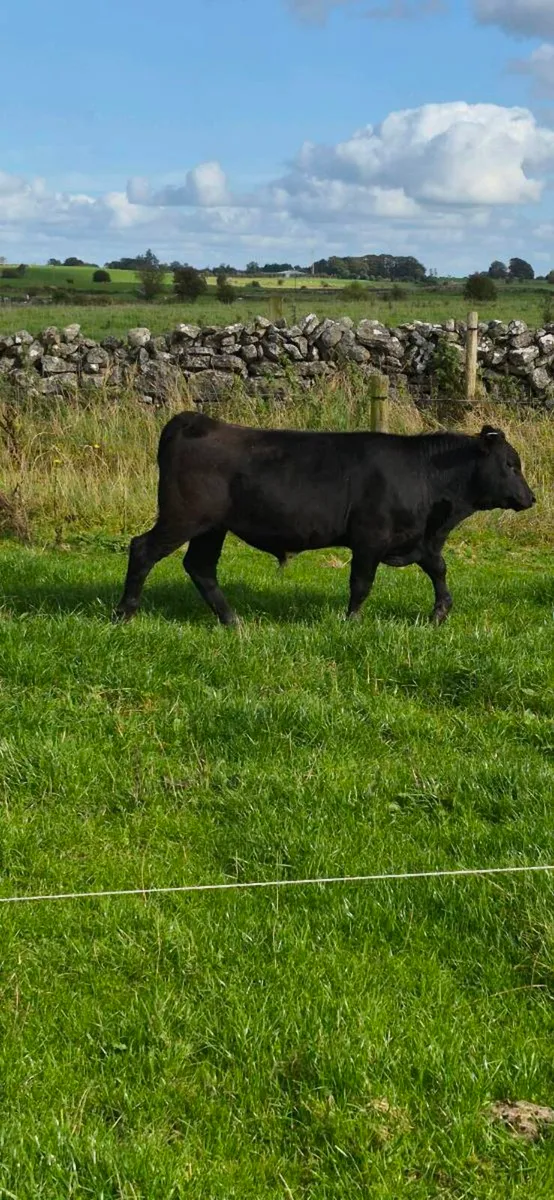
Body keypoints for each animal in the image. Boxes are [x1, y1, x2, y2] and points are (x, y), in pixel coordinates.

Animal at [114, 412, 535, 626]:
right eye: (510, 464)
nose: (530, 498)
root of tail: (196, 421)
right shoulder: (370, 538)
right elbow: (361, 584)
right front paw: (351, 624)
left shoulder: (418, 539)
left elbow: (439, 569)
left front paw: (440, 612)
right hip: (182, 517)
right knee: (143, 550)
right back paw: (124, 613)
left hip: (211, 528)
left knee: (200, 568)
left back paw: (232, 620)